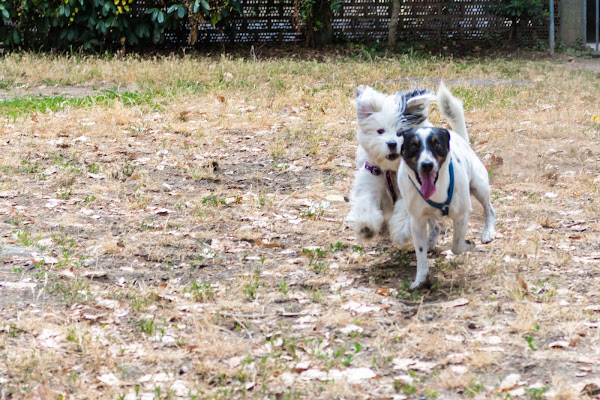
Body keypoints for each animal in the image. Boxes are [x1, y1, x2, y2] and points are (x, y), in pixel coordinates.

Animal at [346, 82, 468, 242]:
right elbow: (366, 201)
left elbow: (405, 209)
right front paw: (366, 226)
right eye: (380, 131)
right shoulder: (371, 179)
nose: (392, 143)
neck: (391, 171)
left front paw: (400, 232)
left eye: (401, 133)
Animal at [394, 99, 496, 290]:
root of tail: (461, 139)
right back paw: (431, 241)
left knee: (490, 209)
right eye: (413, 146)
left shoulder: (461, 215)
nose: (427, 165)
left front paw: (468, 244)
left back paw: (488, 232)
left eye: (437, 145)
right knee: (434, 225)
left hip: (479, 186)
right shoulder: (417, 221)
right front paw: (421, 279)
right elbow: (420, 253)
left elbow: (457, 245)